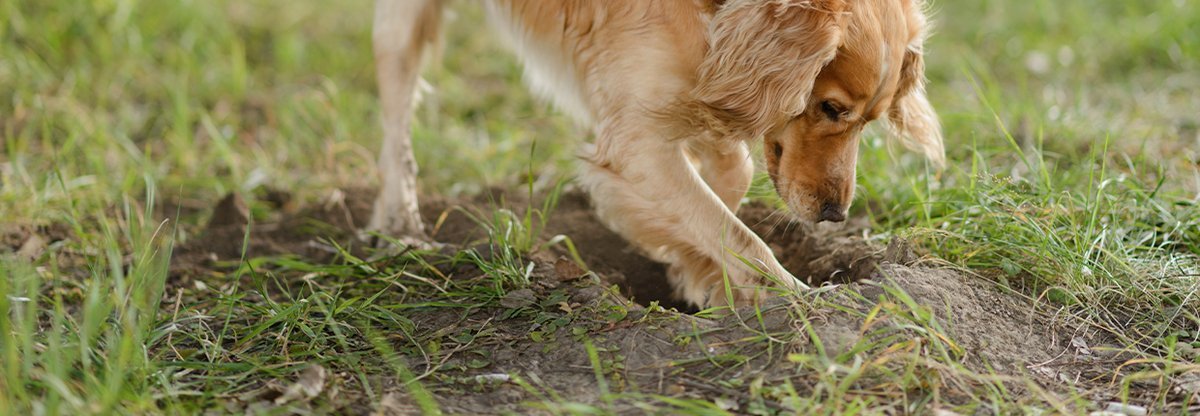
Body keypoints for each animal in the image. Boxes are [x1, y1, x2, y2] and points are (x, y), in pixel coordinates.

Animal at [364, 0, 936, 309]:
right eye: (831, 107)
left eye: (870, 120)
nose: (835, 215)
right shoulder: (634, 138)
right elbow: (741, 236)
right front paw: (791, 298)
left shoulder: (699, 87)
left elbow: (728, 183)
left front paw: (696, 273)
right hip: (400, 25)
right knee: (395, 122)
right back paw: (399, 225)